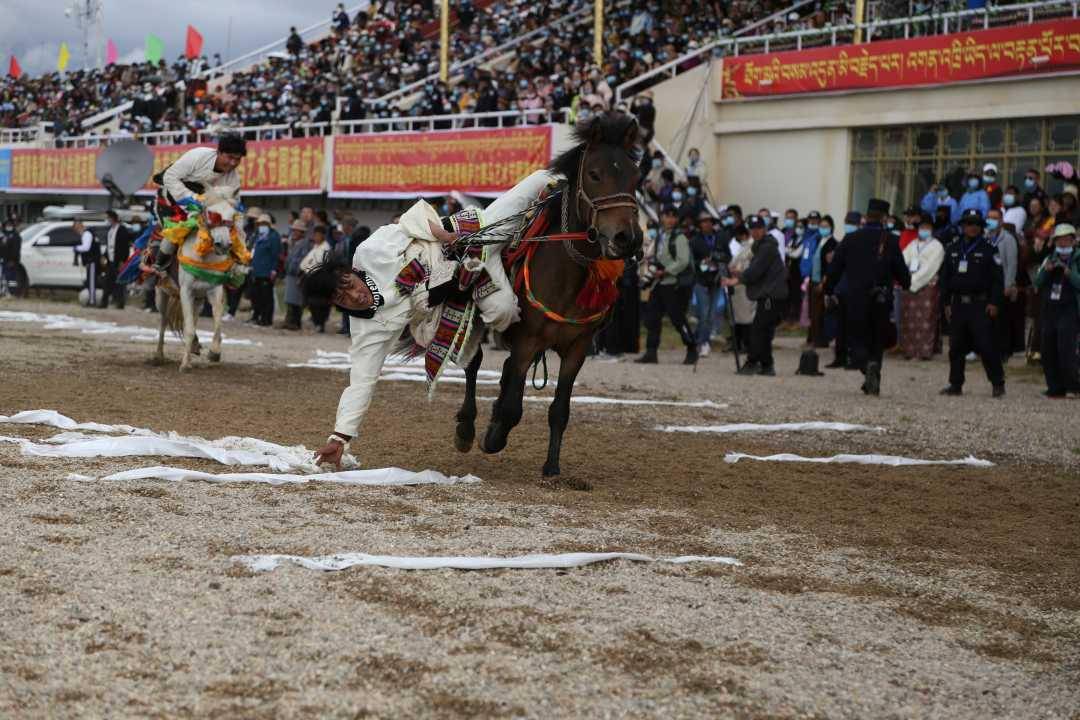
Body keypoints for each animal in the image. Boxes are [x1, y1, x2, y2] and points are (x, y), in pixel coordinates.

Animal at [152, 185, 248, 371]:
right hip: (163, 294)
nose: (224, 244)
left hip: (198, 299)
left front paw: (214, 353)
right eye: (211, 213)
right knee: (163, 321)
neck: (204, 257)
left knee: (193, 320)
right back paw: (158, 356)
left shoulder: (214, 291)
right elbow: (188, 328)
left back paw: (194, 348)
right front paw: (184, 365)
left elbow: (217, 324)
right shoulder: (186, 292)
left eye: (232, 215)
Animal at [453, 113, 639, 479]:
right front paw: (492, 437)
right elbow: (513, 407)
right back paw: (467, 429)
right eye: (595, 174)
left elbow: (560, 409)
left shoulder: (578, 348)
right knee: (475, 363)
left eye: (635, 175)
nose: (627, 237)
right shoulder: (528, 341)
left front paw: (552, 467)